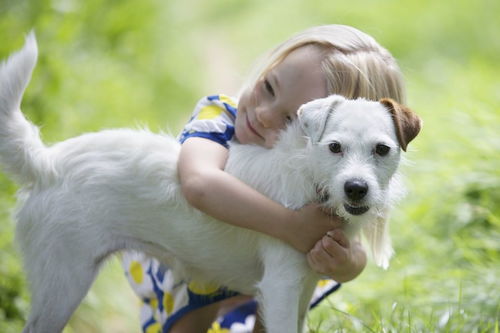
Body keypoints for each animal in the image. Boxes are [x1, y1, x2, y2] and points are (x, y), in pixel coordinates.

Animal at [0, 33, 422, 332]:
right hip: (61, 285)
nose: (356, 188)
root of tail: (48, 163)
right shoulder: (282, 287)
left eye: (382, 149)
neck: (308, 173)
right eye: (335, 147)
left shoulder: (301, 290)